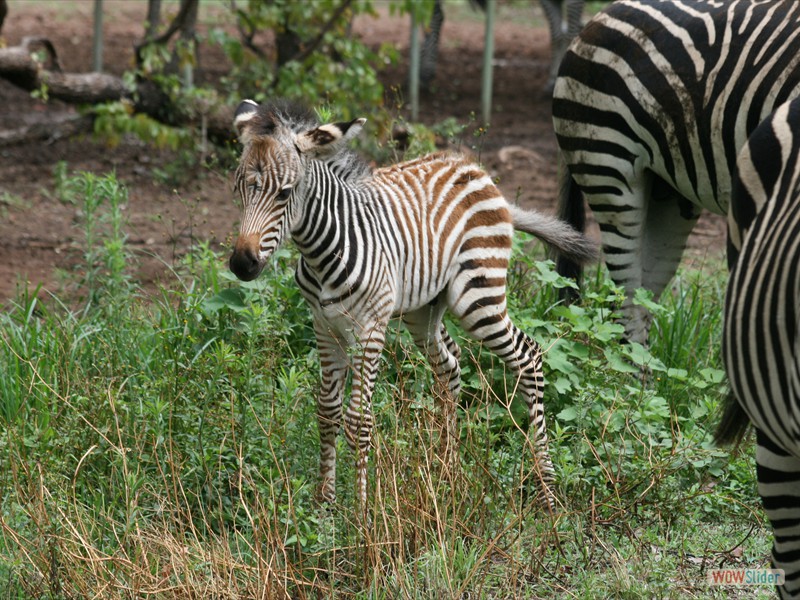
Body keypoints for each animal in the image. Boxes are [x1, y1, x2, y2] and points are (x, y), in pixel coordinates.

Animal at [228, 98, 596, 510]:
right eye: (239, 188)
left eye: (284, 193)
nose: (241, 264)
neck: (323, 251)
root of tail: (480, 173)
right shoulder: (324, 326)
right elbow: (327, 411)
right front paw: (325, 505)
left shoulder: (370, 327)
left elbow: (358, 419)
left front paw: (361, 512)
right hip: (424, 311)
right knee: (450, 368)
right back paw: (448, 476)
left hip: (478, 299)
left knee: (529, 356)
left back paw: (547, 490)